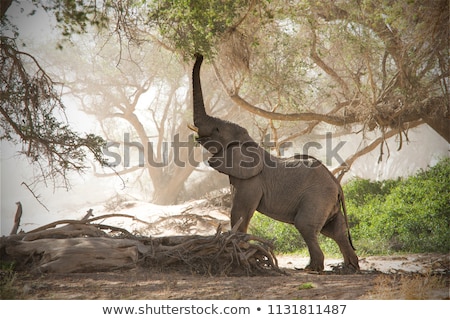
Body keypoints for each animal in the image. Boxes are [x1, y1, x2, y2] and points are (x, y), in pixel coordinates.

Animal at [188, 54, 360, 272]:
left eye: (217, 129)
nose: (199, 55)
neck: (248, 142)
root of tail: (337, 184)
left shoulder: (251, 181)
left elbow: (240, 212)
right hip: (329, 201)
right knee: (334, 230)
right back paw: (349, 268)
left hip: (318, 196)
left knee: (305, 225)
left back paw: (311, 269)